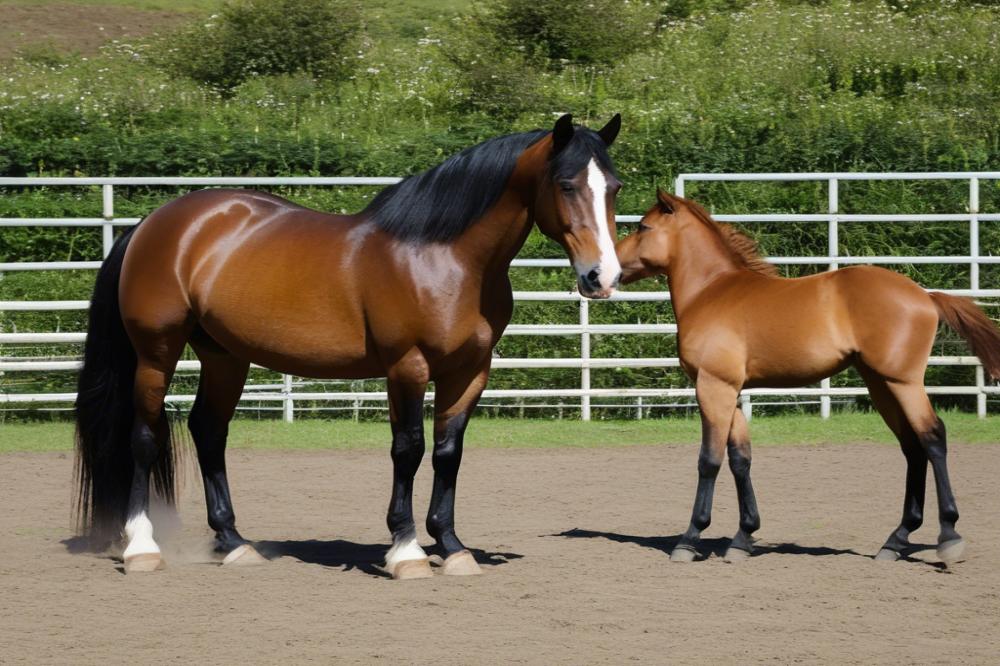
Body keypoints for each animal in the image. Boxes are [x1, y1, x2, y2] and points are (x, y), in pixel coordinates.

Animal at [74, 113, 624, 576]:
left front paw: (451, 547)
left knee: (208, 432)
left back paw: (234, 543)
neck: (443, 256)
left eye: (614, 187)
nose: (602, 277)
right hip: (156, 353)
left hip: (225, 356)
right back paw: (142, 547)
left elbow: (448, 452)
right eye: (566, 184)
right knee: (144, 437)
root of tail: (153, 224)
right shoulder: (407, 367)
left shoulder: (469, 371)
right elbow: (409, 448)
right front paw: (406, 551)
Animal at [616, 189, 1000, 564]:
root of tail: (925, 295)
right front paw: (743, 537)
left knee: (932, 437)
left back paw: (948, 536)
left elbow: (709, 461)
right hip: (881, 385)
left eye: (643, 227)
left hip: (903, 383)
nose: (608, 269)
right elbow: (741, 459)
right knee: (912, 445)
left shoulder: (712, 387)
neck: (711, 291)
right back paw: (896, 540)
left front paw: (690, 538)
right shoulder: (730, 391)